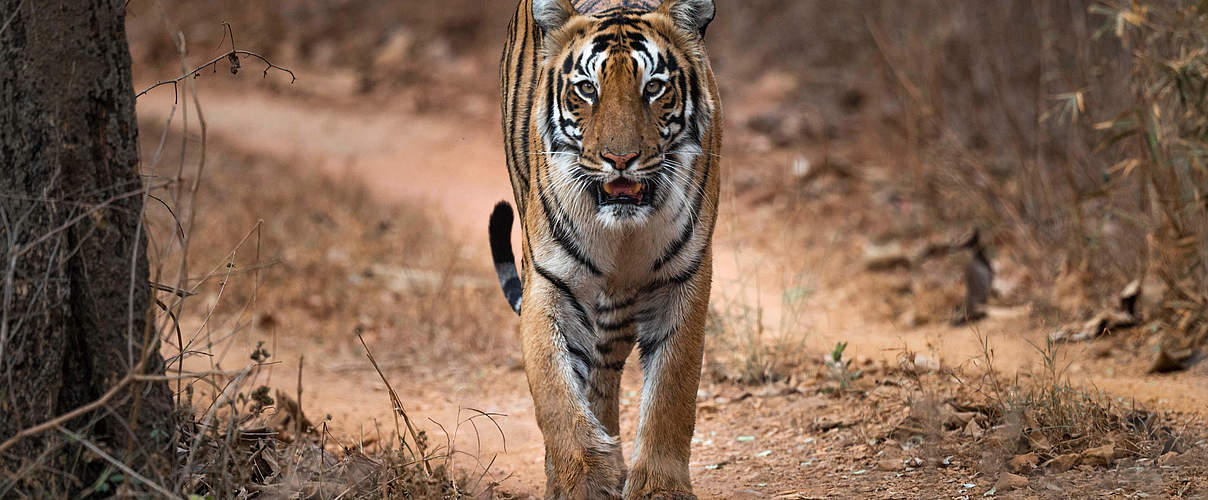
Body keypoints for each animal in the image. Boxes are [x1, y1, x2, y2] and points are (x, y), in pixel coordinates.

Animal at [488, 0, 715, 495]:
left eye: (654, 87)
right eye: (587, 90)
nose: (620, 159)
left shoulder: (684, 277)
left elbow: (672, 391)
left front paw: (658, 488)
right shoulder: (549, 279)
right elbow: (555, 390)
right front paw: (584, 479)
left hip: (619, 309)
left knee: (604, 372)